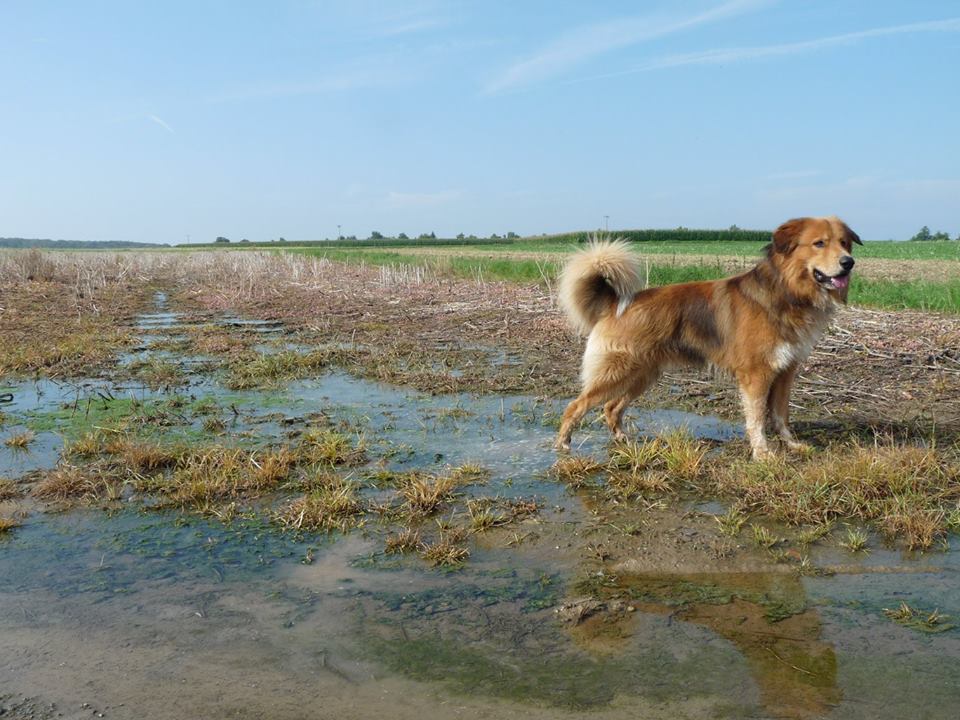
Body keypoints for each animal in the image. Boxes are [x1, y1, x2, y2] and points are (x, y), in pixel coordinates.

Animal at [556, 217, 864, 458]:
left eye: (844, 243)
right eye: (819, 243)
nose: (848, 263)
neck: (785, 292)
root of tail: (615, 302)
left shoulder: (785, 371)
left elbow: (780, 414)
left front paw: (791, 445)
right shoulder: (757, 375)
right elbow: (756, 418)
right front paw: (763, 453)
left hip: (642, 375)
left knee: (611, 407)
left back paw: (622, 439)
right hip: (617, 372)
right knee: (576, 405)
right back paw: (563, 444)